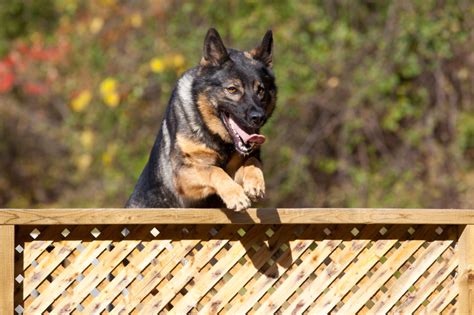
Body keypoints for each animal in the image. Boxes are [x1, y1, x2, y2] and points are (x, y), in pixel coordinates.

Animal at [126, 28, 276, 212]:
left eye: (260, 90)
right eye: (232, 89)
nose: (258, 117)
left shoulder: (242, 163)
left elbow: (252, 161)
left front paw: (255, 184)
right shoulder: (183, 174)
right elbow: (214, 170)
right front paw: (236, 195)